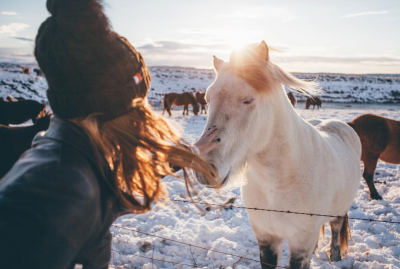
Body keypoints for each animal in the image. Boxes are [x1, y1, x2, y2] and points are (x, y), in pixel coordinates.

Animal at [195, 40, 360, 266]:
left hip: (339, 210)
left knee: (336, 228)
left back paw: (334, 257)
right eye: (207, 98)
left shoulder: (301, 240)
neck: (278, 185)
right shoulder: (266, 237)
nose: (203, 169)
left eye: (248, 100)